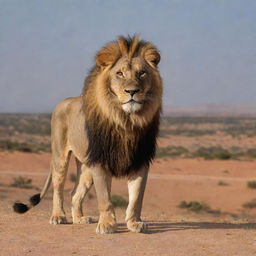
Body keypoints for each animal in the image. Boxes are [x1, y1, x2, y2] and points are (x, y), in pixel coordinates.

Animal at [13, 36, 162, 234]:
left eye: (142, 73)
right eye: (120, 74)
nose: (132, 91)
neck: (126, 120)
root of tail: (63, 102)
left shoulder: (140, 160)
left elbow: (136, 197)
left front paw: (134, 223)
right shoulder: (100, 161)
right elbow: (105, 198)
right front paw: (107, 225)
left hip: (86, 165)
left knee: (75, 193)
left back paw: (79, 219)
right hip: (60, 157)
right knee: (58, 189)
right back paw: (58, 217)